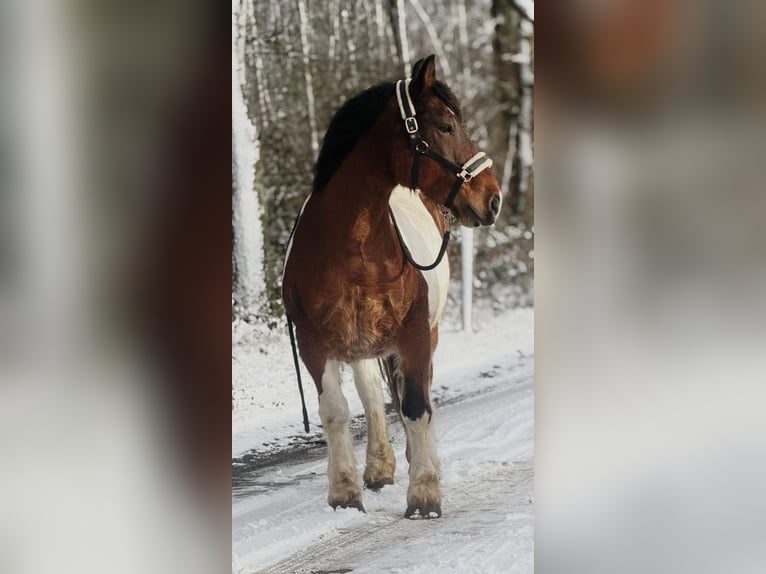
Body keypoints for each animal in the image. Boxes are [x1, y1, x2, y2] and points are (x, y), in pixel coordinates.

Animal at [282, 55, 501, 519]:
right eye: (445, 126)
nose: (493, 199)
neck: (355, 247)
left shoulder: (415, 335)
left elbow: (416, 407)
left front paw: (424, 494)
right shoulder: (314, 343)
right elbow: (335, 411)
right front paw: (344, 494)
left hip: (425, 335)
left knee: (414, 395)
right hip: (359, 344)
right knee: (370, 395)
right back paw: (379, 467)